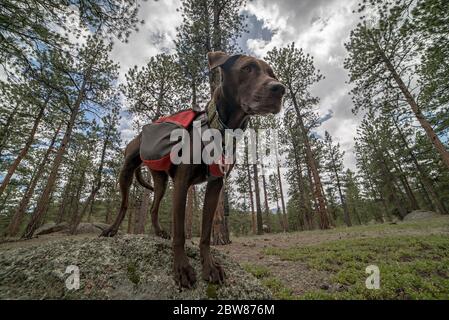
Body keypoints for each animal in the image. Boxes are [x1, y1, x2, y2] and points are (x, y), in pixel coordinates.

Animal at [101, 52, 284, 288]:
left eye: (272, 73)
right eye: (247, 68)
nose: (280, 89)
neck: (220, 130)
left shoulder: (215, 185)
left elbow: (205, 234)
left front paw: (210, 266)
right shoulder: (182, 182)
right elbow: (180, 232)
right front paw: (182, 268)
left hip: (160, 181)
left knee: (153, 207)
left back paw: (159, 232)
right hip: (126, 170)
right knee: (124, 204)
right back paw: (112, 229)